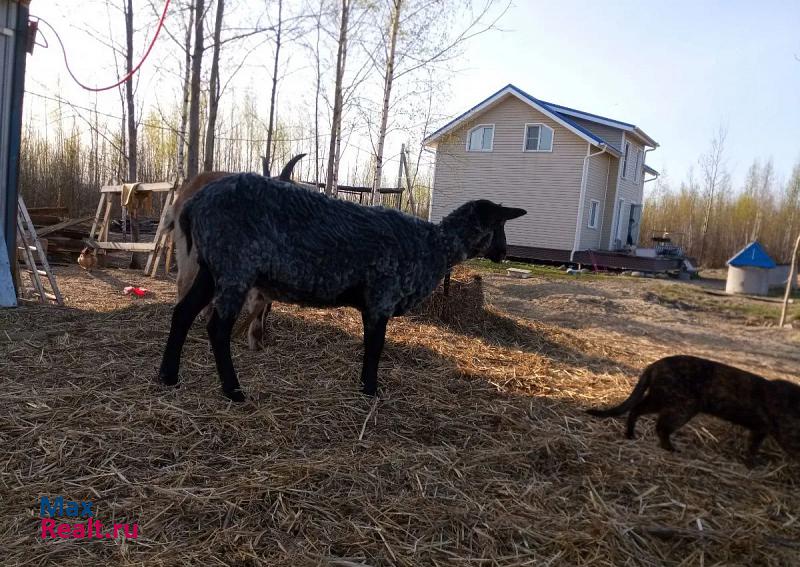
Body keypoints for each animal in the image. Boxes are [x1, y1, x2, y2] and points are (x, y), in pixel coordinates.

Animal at [588, 356, 800, 466]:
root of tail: (654, 365)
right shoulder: (787, 435)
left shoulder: (760, 430)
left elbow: (752, 447)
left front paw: (751, 462)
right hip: (682, 405)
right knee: (660, 425)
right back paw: (670, 448)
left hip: (661, 399)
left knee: (638, 410)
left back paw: (631, 435)